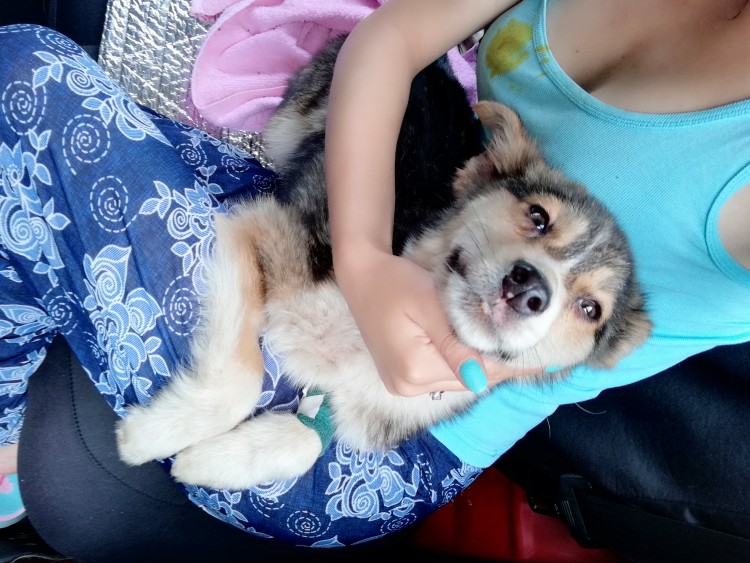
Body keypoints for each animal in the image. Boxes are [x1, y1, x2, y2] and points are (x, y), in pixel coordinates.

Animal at [116, 37, 651, 490]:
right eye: (538, 216)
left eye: (589, 309)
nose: (529, 288)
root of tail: (438, 68)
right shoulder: (260, 225)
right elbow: (242, 378)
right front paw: (153, 435)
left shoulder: (353, 399)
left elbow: (310, 439)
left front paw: (213, 461)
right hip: (295, 121)